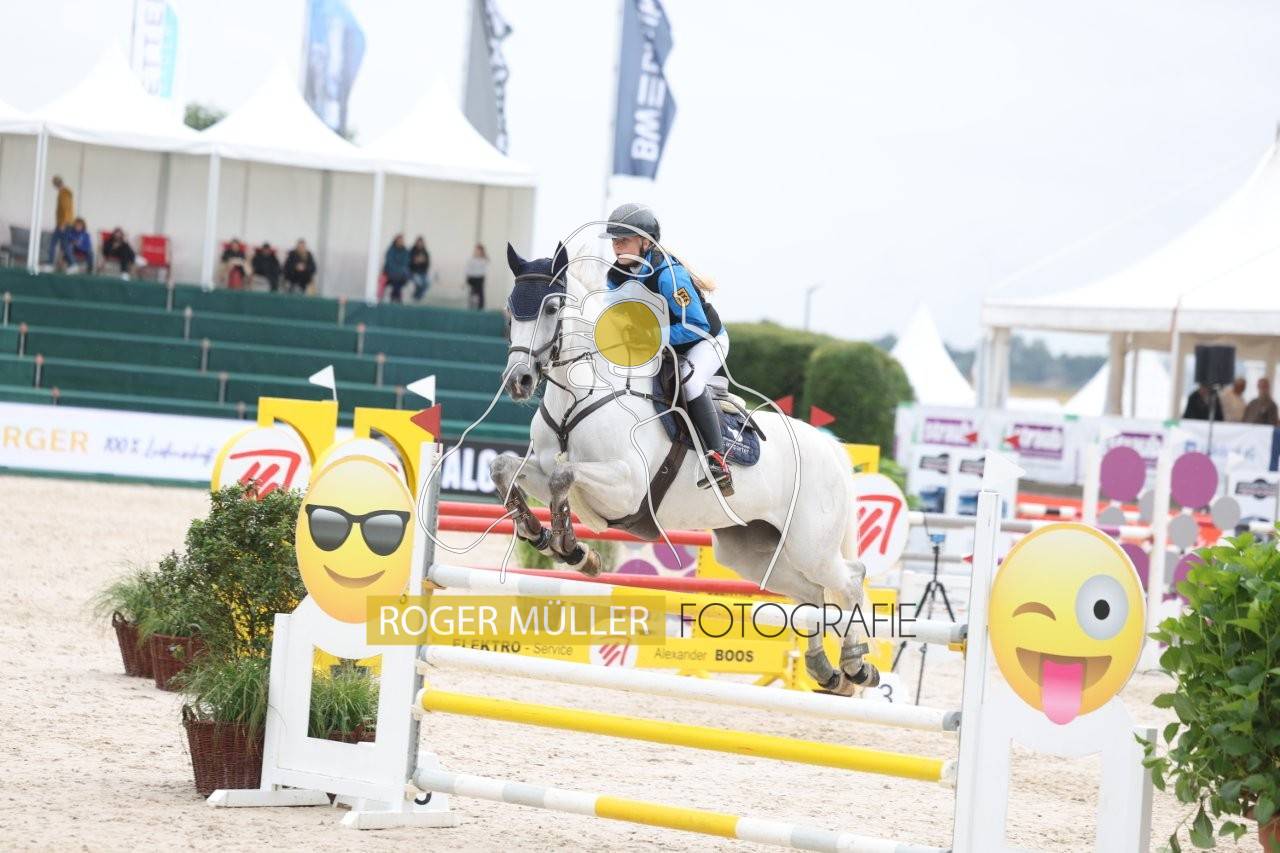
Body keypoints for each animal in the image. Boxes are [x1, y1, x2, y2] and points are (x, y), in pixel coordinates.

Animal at [489, 241, 879, 695]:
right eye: (510, 309)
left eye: (552, 307)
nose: (518, 381)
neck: (582, 392)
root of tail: (831, 449)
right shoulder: (548, 468)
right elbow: (503, 467)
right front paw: (540, 533)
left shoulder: (626, 488)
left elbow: (562, 477)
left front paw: (570, 548)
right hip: (750, 551)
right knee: (814, 594)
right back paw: (826, 670)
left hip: (809, 545)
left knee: (848, 579)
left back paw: (856, 666)